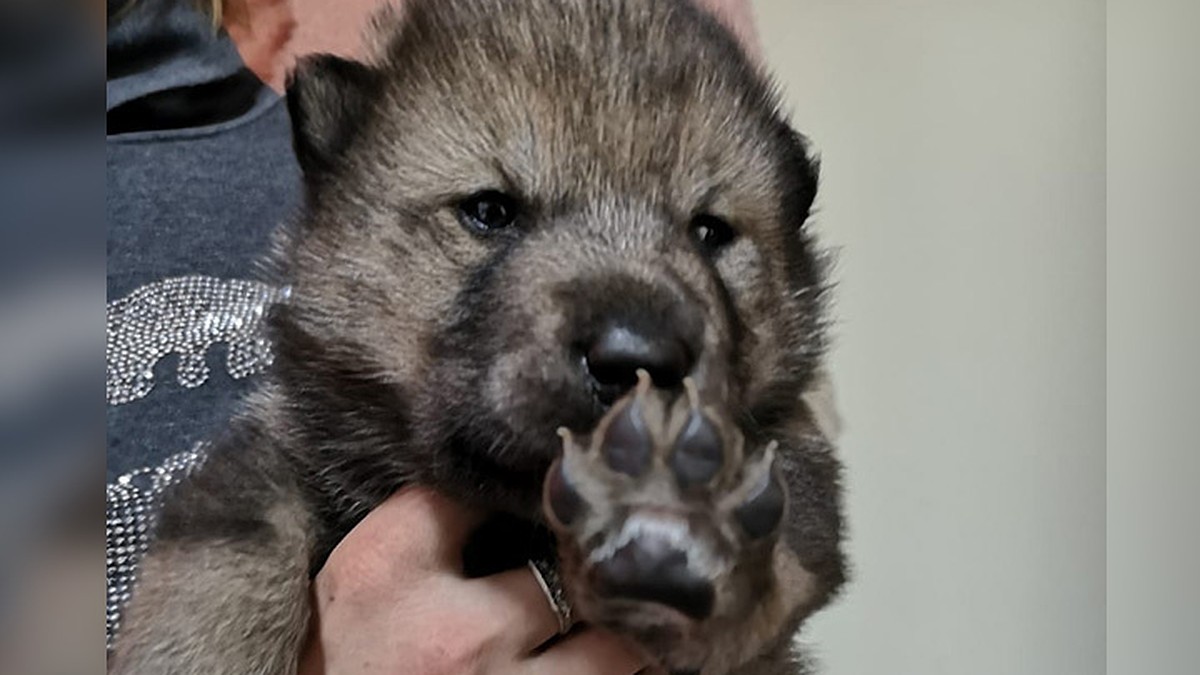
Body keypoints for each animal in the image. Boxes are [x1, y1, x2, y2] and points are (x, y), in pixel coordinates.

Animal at [110, 1, 844, 672]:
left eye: (710, 231)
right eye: (491, 211)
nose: (638, 359)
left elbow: (796, 505)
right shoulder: (289, 440)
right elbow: (226, 549)